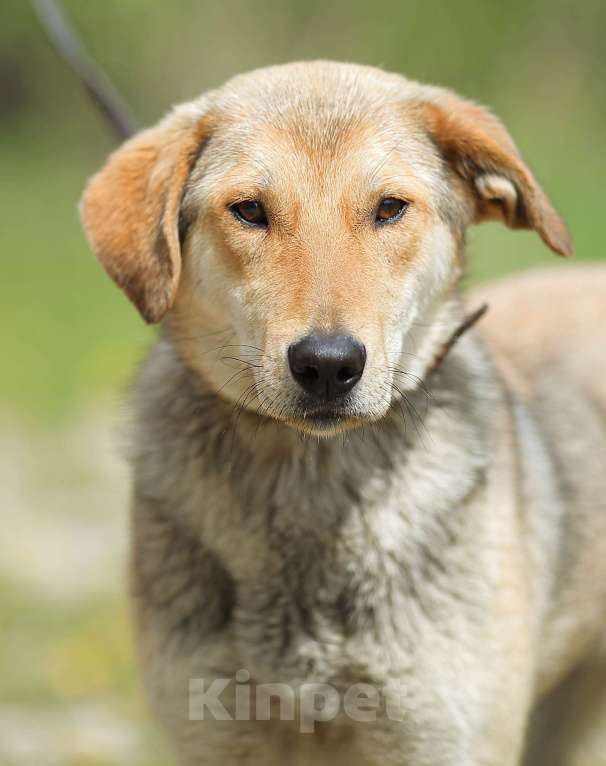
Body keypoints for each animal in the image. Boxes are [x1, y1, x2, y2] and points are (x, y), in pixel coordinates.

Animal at [81, 61, 606, 766]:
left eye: (389, 208)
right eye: (249, 210)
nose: (328, 364)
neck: (310, 482)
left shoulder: (442, 735)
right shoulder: (217, 731)